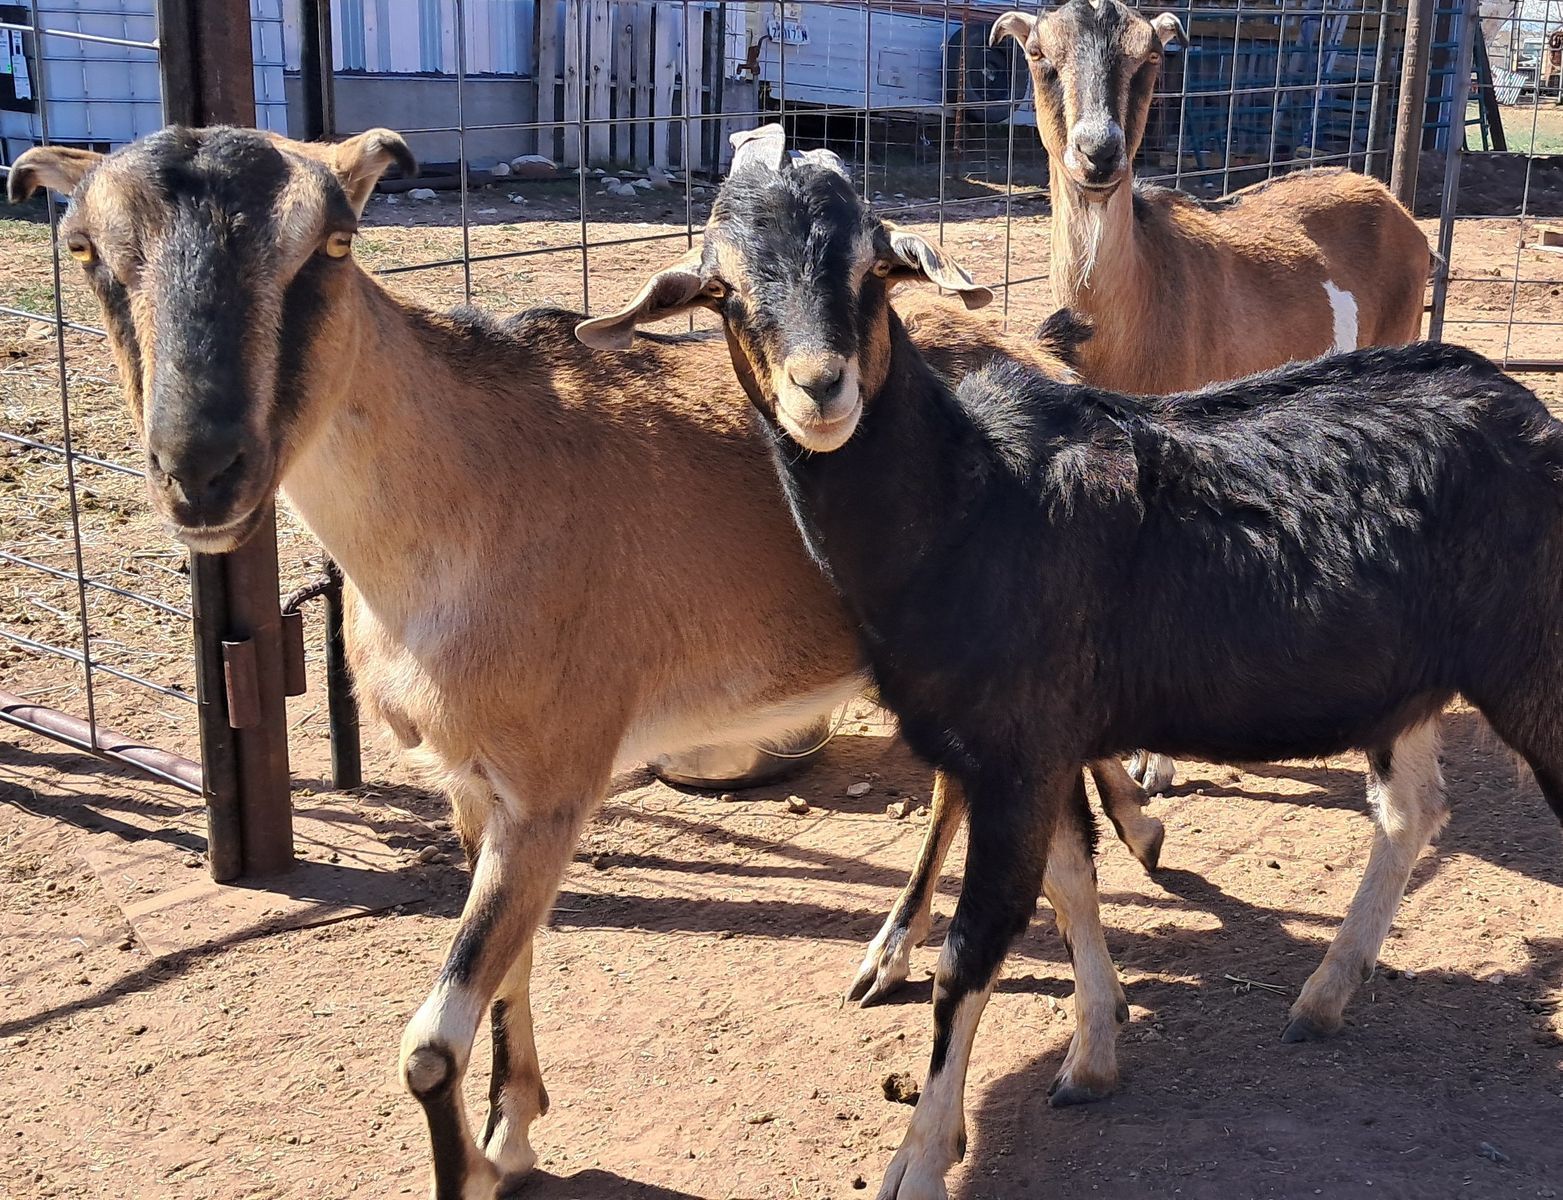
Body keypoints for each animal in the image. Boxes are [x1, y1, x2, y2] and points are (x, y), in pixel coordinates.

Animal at [6, 124, 1164, 1200]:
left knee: (1048, 838)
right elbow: (507, 967)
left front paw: (478, 1165)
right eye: (84, 249)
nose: (202, 472)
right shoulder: (481, 789)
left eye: (330, 244)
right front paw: (514, 1131)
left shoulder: (557, 779)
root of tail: (1042, 354)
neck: (467, 495)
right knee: (993, 810)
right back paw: (945, 970)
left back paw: (1084, 1003)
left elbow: (429, 1043)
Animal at [583, 130, 1563, 1200]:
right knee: (1411, 811)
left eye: (872, 268)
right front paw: (1093, 1055)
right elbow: (1069, 887)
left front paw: (919, 1157)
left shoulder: (1017, 746)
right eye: (720, 287)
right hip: (1408, 684)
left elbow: (973, 948)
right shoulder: (1037, 746)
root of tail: (1532, 414)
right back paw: (1322, 995)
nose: (821, 386)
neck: (968, 505)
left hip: (1533, 665)